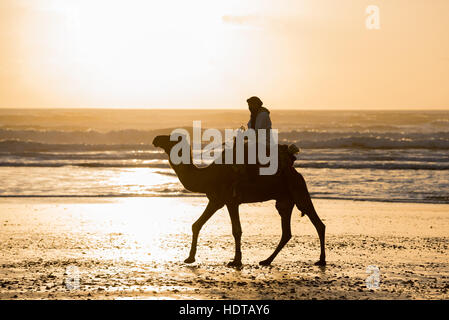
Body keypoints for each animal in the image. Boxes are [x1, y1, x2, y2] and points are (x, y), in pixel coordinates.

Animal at [151, 135, 326, 268]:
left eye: (170, 137)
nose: (156, 139)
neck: (206, 177)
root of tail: (296, 172)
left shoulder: (230, 201)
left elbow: (236, 230)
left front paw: (236, 261)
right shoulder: (217, 201)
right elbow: (197, 225)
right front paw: (190, 258)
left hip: (299, 191)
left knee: (318, 224)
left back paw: (321, 260)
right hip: (284, 201)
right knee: (287, 232)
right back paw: (266, 260)